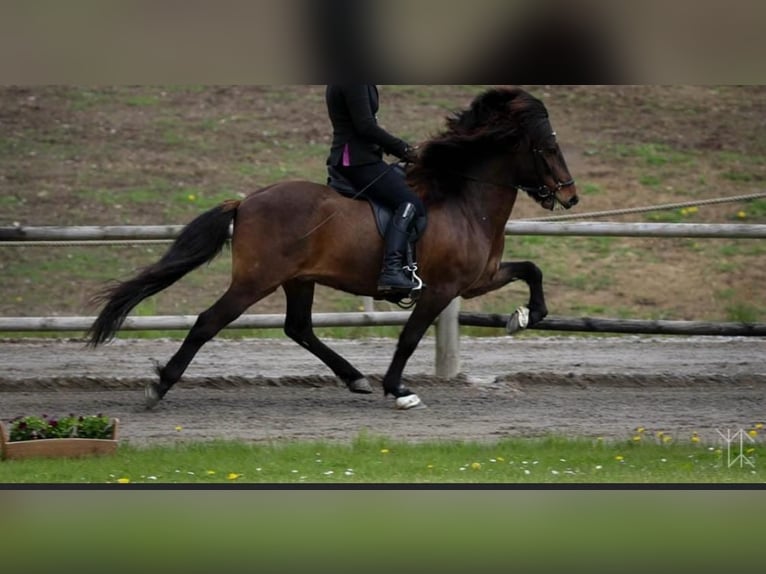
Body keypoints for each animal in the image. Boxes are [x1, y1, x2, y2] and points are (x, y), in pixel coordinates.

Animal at [87, 87, 578, 410]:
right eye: (548, 148)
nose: (571, 197)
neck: (464, 199)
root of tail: (246, 201)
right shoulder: (441, 289)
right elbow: (409, 337)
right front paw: (398, 389)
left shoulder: (475, 281)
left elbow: (531, 268)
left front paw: (526, 316)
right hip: (255, 280)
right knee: (209, 322)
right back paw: (159, 387)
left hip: (297, 280)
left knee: (299, 328)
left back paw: (355, 378)